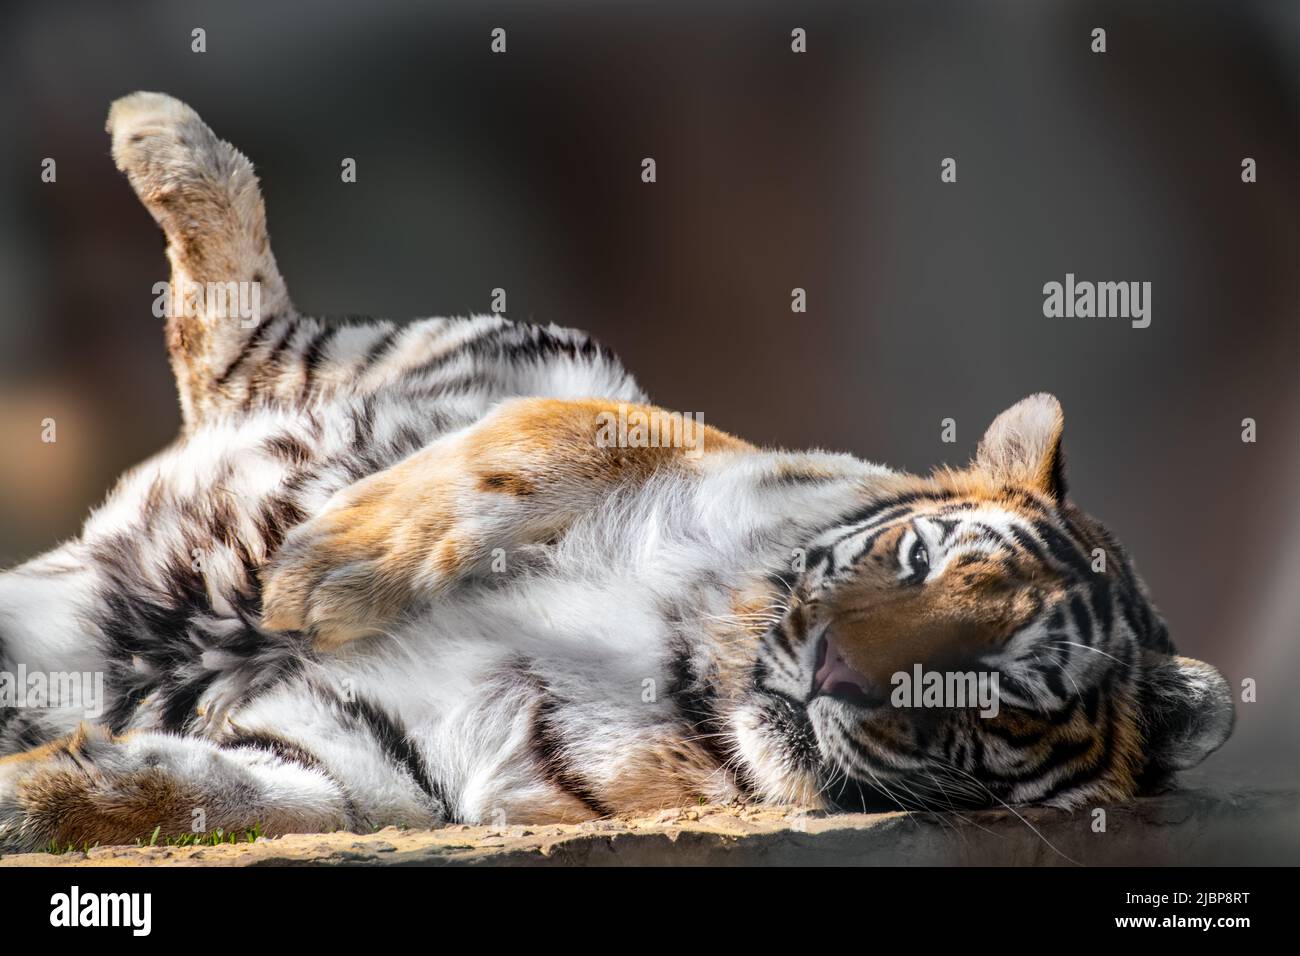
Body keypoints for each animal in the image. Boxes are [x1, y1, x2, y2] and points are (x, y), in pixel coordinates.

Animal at [0, 91, 1232, 853]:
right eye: (919, 554)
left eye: (997, 693)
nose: (835, 670)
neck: (697, 677)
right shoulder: (687, 440)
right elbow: (592, 431)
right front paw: (326, 575)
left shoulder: (383, 761)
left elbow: (200, 790)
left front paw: (33, 795)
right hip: (493, 344)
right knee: (244, 339)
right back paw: (158, 131)